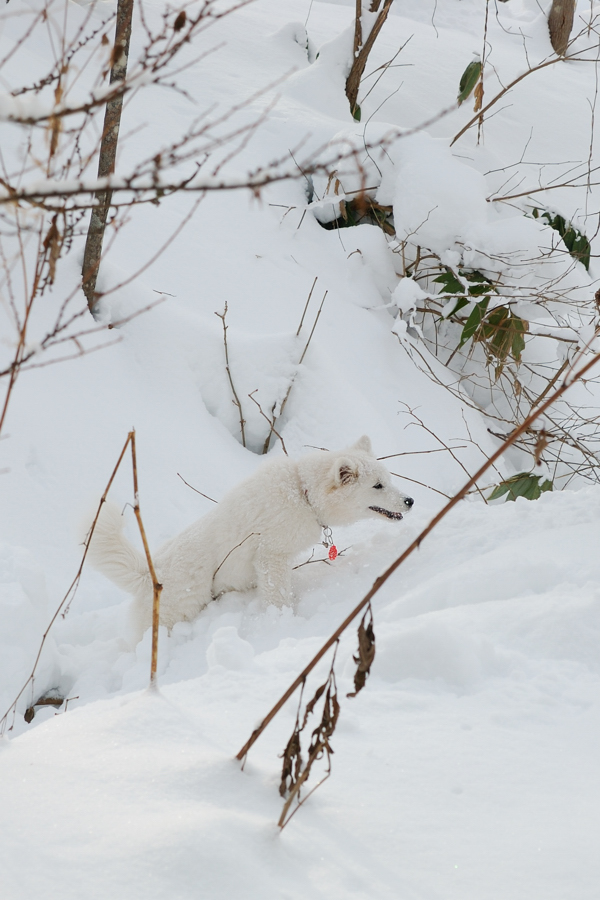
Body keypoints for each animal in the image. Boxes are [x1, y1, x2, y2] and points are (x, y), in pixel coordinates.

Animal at [88, 436, 412, 632]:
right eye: (377, 486)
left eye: (388, 480)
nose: (410, 501)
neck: (303, 494)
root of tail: (146, 575)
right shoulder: (271, 556)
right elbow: (278, 597)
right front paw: (282, 621)